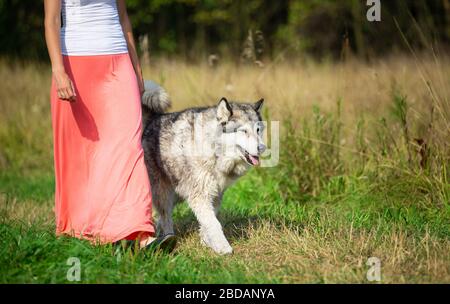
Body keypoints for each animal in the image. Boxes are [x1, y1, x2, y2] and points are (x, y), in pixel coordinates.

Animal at [141, 81, 266, 254]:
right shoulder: (200, 194)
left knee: (161, 216)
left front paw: (206, 242)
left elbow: (209, 220)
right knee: (165, 216)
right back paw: (168, 239)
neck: (215, 152)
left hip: (177, 193)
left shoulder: (216, 194)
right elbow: (213, 223)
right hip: (164, 192)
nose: (262, 148)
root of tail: (153, 118)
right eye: (244, 131)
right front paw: (223, 248)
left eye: (258, 130)